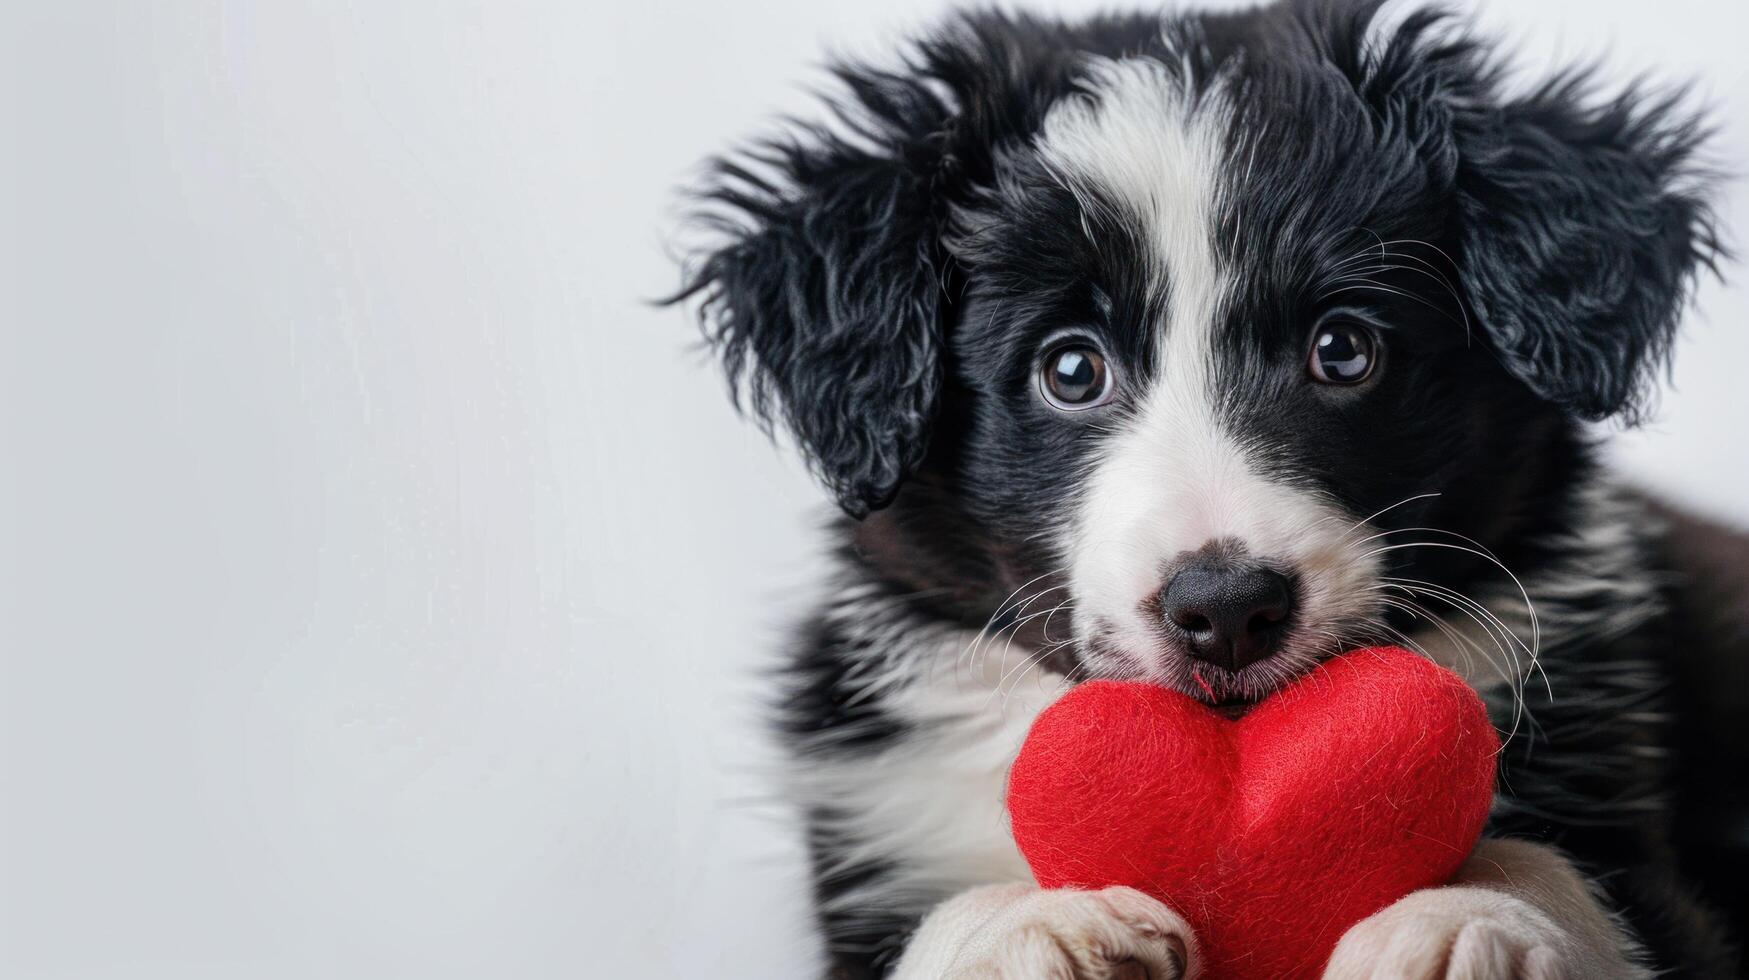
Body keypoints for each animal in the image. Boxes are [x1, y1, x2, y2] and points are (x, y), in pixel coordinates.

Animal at [668, 3, 1749, 973]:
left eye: (1342, 349)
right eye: (1070, 369)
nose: (1226, 609)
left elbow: (1561, 875)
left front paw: (1467, 918)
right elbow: (943, 920)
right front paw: (1029, 926)